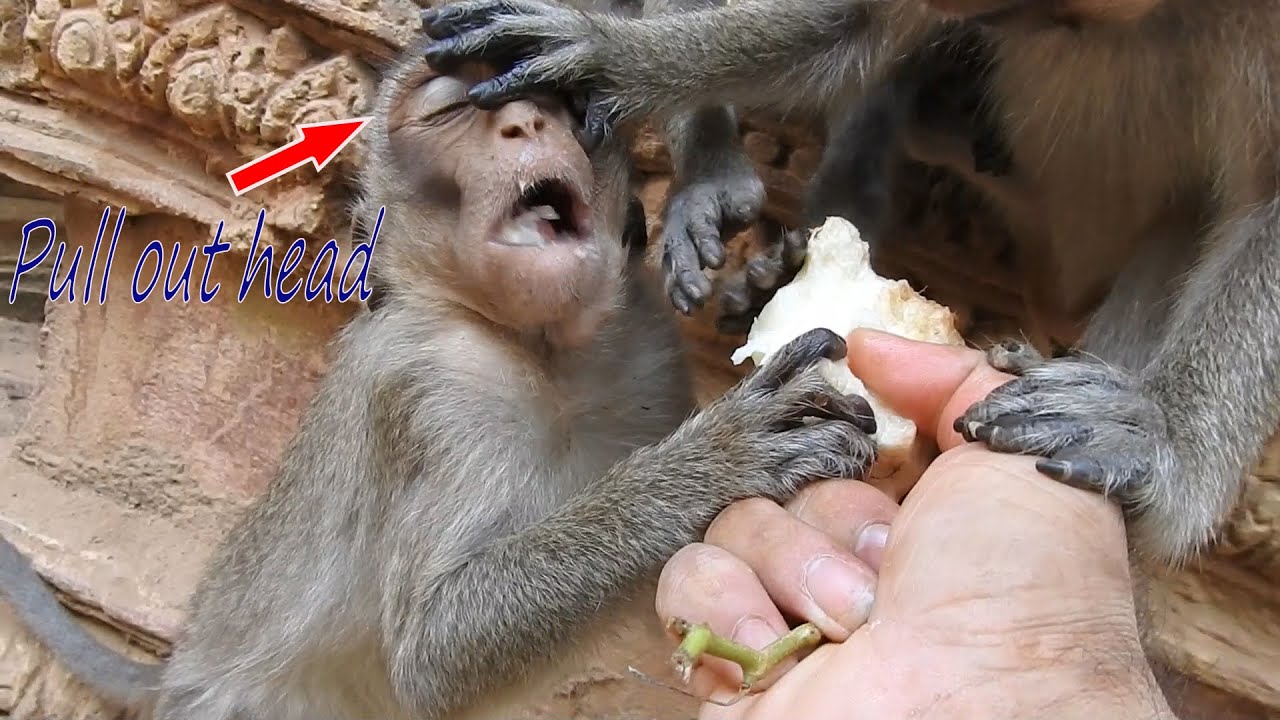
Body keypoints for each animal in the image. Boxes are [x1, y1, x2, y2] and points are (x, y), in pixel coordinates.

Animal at [0, 49, 882, 719]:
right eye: (451, 109)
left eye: (564, 107)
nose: (525, 124)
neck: (543, 351)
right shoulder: (433, 391)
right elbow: (436, 649)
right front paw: (716, 460)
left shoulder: (645, 342)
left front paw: (765, 281)